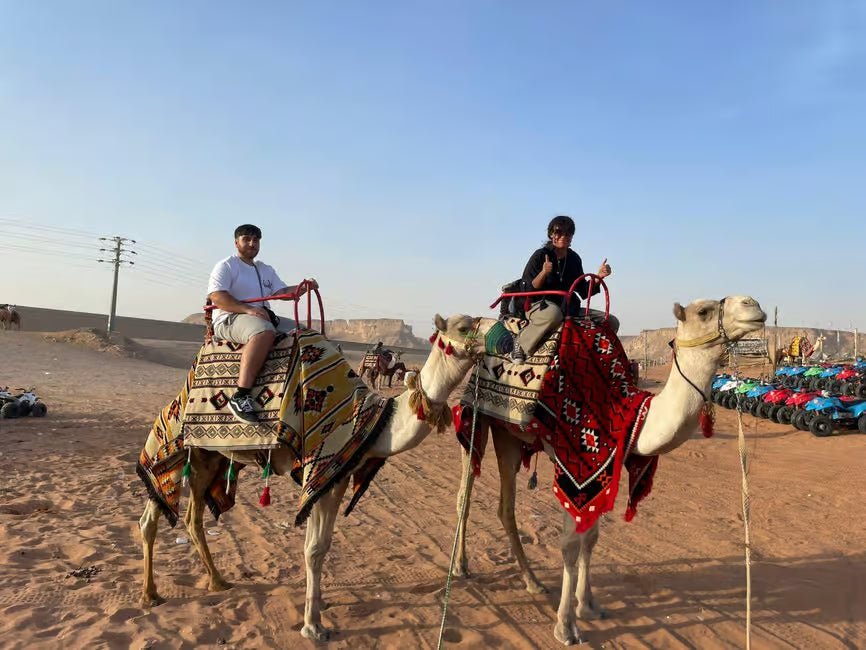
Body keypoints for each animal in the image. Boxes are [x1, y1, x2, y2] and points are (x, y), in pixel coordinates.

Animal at [138, 313, 487, 642]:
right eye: (464, 325)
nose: (499, 335)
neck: (375, 420)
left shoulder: (339, 473)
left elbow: (323, 544)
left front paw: (320, 606)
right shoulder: (319, 467)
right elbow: (314, 548)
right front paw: (313, 625)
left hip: (210, 459)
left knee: (192, 518)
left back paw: (217, 580)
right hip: (176, 444)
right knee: (151, 516)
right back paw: (150, 595)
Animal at [452, 295, 766, 645]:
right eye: (703, 311)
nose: (753, 305)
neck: (622, 408)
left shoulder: (604, 465)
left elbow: (591, 538)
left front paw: (588, 605)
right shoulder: (574, 464)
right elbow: (569, 545)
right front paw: (565, 626)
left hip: (509, 435)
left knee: (505, 507)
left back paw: (533, 581)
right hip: (477, 417)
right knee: (465, 494)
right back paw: (461, 566)